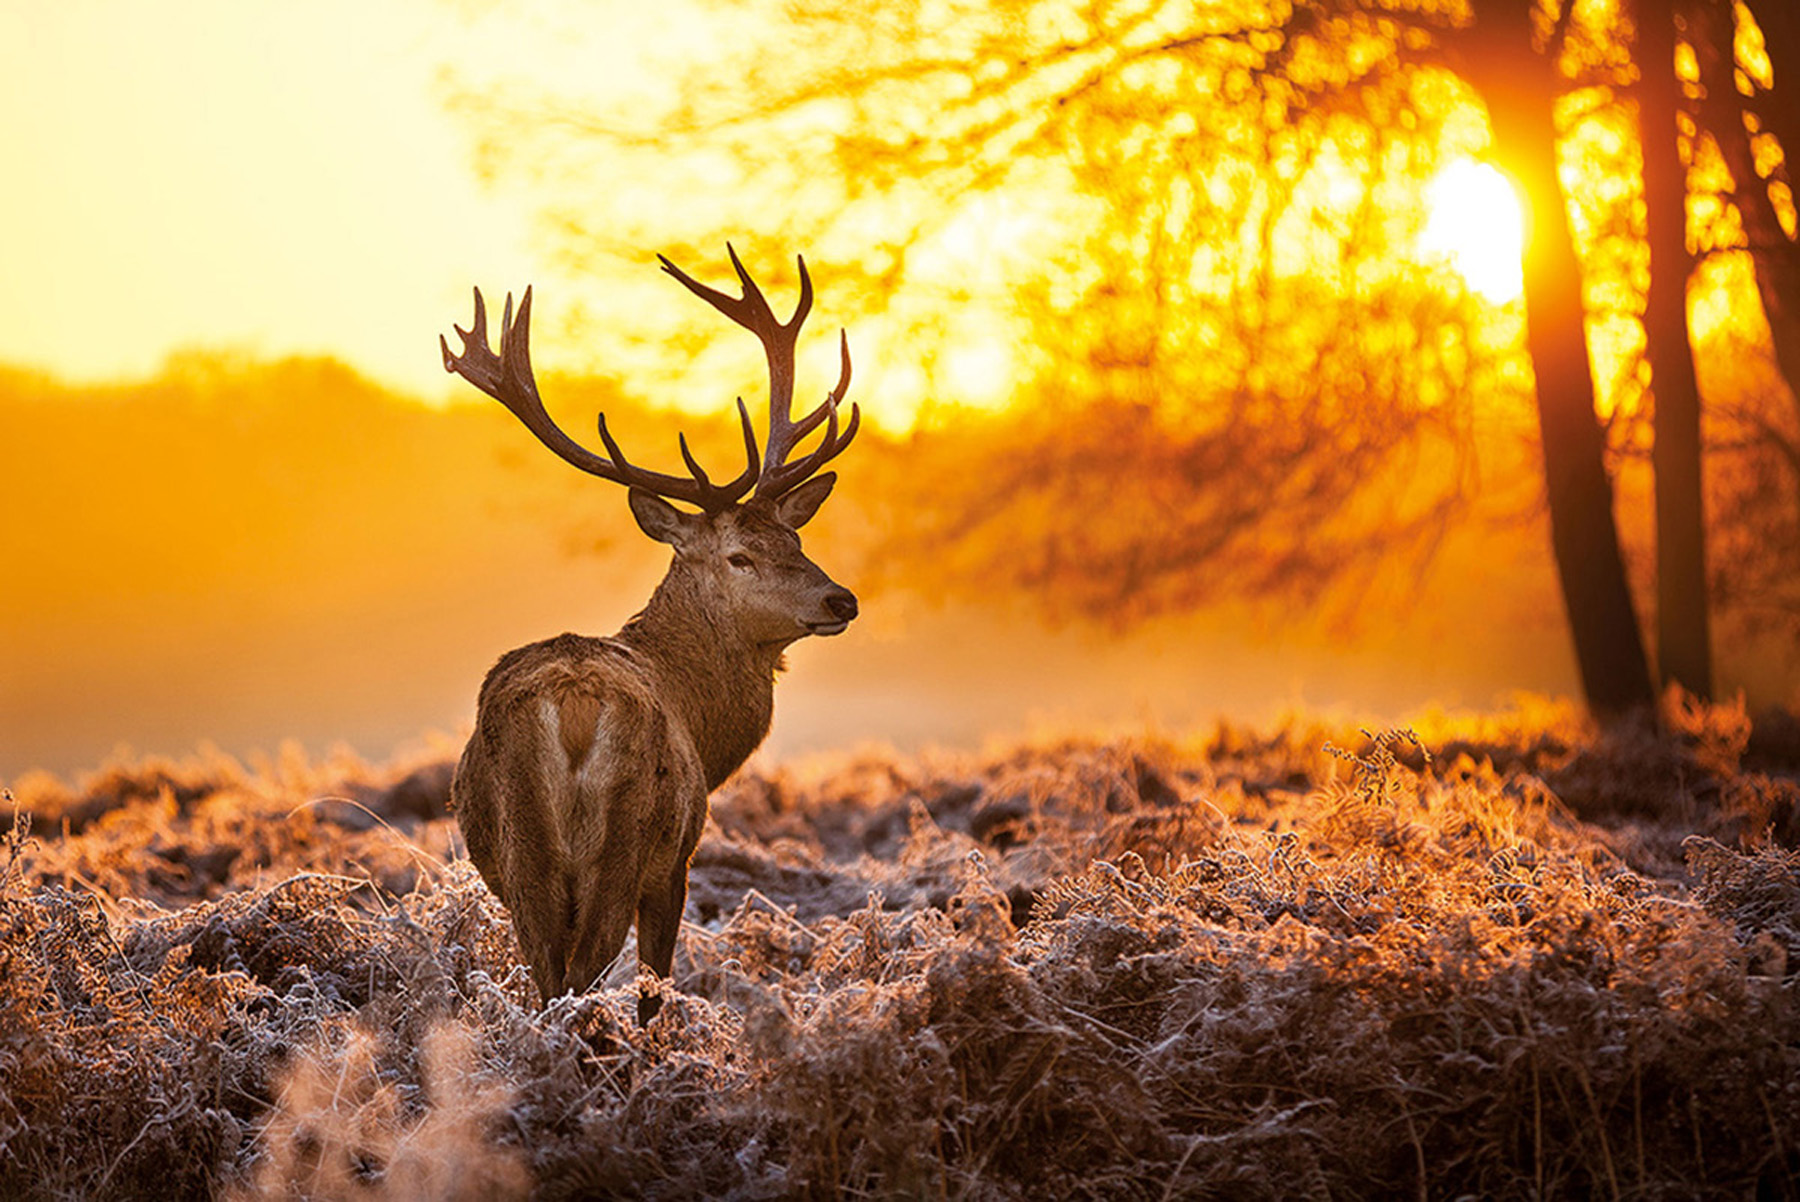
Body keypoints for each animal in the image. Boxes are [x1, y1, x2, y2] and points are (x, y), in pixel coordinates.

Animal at [435, 248, 856, 1022]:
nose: (841, 598)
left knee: (548, 977)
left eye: (795, 538)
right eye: (739, 555)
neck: (703, 722)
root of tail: (572, 706)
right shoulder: (678, 859)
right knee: (586, 973)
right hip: (627, 839)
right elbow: (656, 984)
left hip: (521, 850)